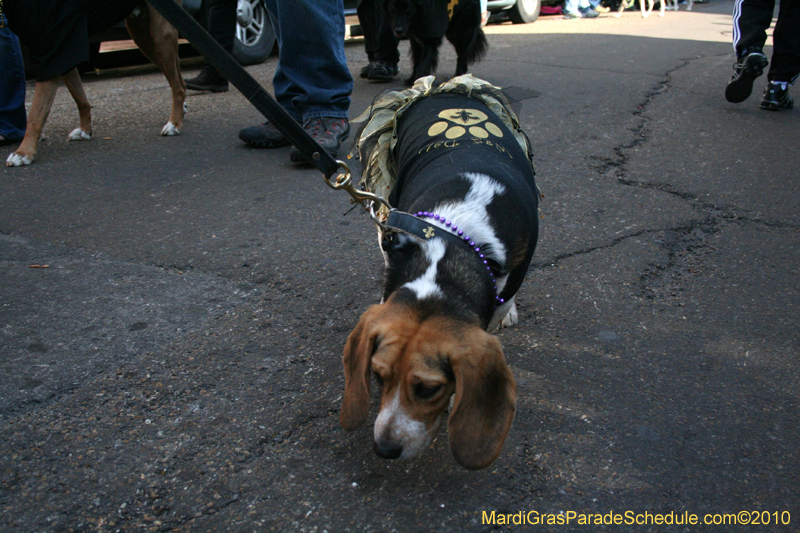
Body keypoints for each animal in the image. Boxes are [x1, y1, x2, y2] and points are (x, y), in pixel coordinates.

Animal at [5, 0, 186, 166]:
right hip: (143, 36)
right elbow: (80, 99)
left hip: (161, 33)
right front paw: (85, 130)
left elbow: (35, 114)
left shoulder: (53, 52)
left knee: (178, 87)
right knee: (179, 81)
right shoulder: (66, 52)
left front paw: (23, 152)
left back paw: (173, 123)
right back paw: (181, 112)